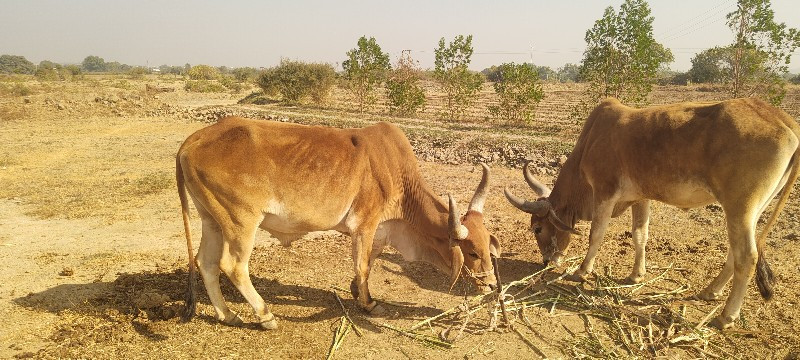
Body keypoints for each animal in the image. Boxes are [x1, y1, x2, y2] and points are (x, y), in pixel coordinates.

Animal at [177, 117, 500, 330]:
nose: (492, 285)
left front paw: (356, 290)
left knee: (206, 263)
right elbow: (364, 265)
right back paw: (266, 316)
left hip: (211, 219)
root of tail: (191, 141)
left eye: (488, 245)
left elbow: (368, 261)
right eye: (472, 252)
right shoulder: (365, 224)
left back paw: (228, 314)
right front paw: (368, 303)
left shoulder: (378, 230)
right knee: (232, 266)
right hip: (241, 221)